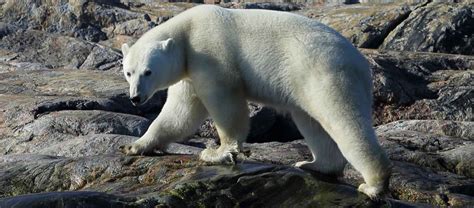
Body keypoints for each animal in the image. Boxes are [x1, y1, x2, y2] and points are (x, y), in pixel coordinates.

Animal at [120, 5, 390, 198]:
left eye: (148, 72)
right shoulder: (188, 70)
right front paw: (135, 146)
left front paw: (217, 152)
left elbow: (225, 103)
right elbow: (180, 113)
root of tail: (360, 62)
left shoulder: (209, 54)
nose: (135, 98)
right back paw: (313, 164)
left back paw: (372, 185)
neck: (187, 31)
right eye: (129, 72)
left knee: (343, 120)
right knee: (312, 123)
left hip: (324, 73)